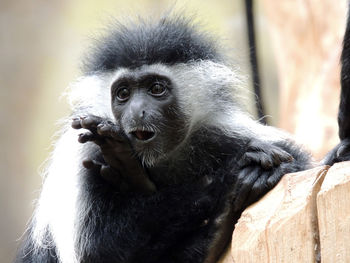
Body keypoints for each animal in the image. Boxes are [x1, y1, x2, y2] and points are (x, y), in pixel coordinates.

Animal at [15, 16, 312, 263]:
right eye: (123, 94)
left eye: (156, 88)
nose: (137, 110)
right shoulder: (84, 153)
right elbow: (98, 250)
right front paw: (230, 177)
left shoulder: (225, 131)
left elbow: (299, 162)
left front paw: (267, 171)